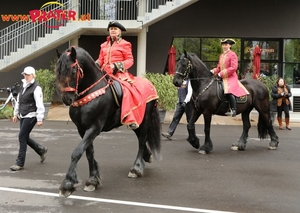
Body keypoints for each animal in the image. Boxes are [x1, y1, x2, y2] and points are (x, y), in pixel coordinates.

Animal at [54, 46, 161, 198]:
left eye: (73, 71)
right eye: (58, 72)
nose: (66, 99)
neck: (91, 92)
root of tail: (149, 84)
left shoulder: (94, 127)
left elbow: (77, 152)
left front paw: (67, 184)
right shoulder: (82, 129)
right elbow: (89, 152)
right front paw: (93, 179)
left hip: (145, 118)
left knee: (141, 140)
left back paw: (136, 168)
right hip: (135, 120)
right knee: (140, 135)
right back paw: (146, 156)